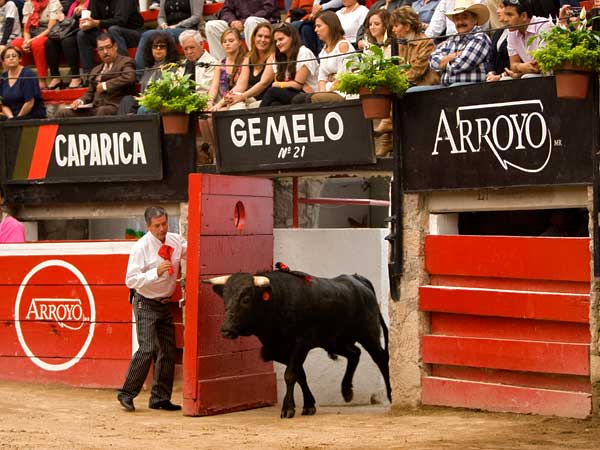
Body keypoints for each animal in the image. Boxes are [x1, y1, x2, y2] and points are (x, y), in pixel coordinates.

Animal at [205, 270, 394, 418]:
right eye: (224, 299)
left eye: (246, 299)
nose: (226, 330)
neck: (277, 300)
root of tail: (358, 280)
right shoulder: (280, 350)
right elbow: (300, 375)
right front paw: (309, 405)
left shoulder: (300, 344)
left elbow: (290, 374)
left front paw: (288, 409)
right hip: (334, 341)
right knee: (354, 353)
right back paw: (346, 390)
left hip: (368, 335)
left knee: (381, 359)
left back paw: (391, 395)